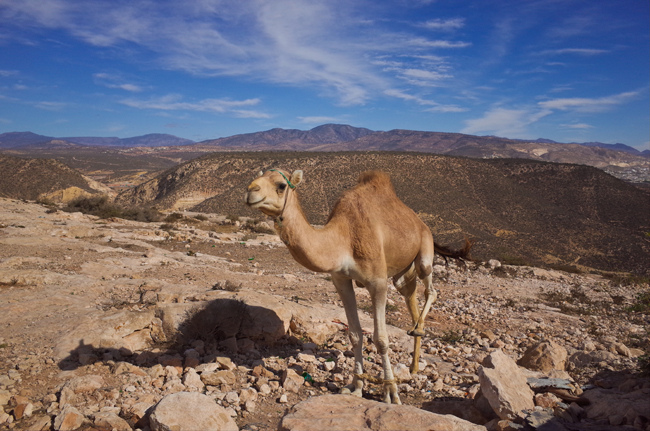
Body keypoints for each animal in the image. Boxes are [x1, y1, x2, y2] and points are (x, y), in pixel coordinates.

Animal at [243, 169, 466, 404]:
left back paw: (417, 333)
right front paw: (356, 386)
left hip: (424, 250)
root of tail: (420, 222)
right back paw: (414, 359)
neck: (344, 239)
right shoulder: (341, 280)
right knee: (409, 294)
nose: (250, 191)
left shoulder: (377, 282)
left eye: (281, 185)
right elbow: (355, 335)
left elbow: (381, 339)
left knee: (430, 288)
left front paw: (391, 392)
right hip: (401, 272)